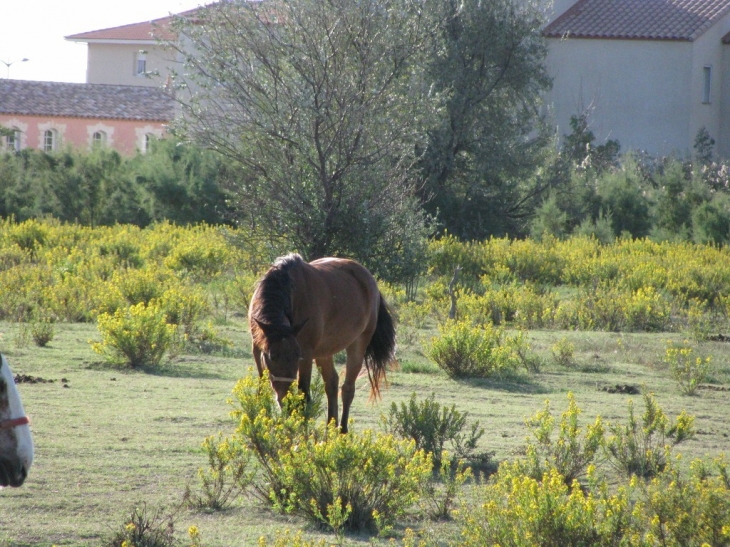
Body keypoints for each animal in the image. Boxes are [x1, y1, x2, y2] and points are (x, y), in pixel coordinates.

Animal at [250, 254, 398, 432]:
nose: (286, 401)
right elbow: (261, 388)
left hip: (358, 344)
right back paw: (330, 428)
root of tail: (369, 279)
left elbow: (304, 395)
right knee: (332, 384)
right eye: (272, 356)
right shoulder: (257, 350)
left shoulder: (306, 355)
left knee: (347, 389)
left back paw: (341, 430)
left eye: (297, 357)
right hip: (324, 352)